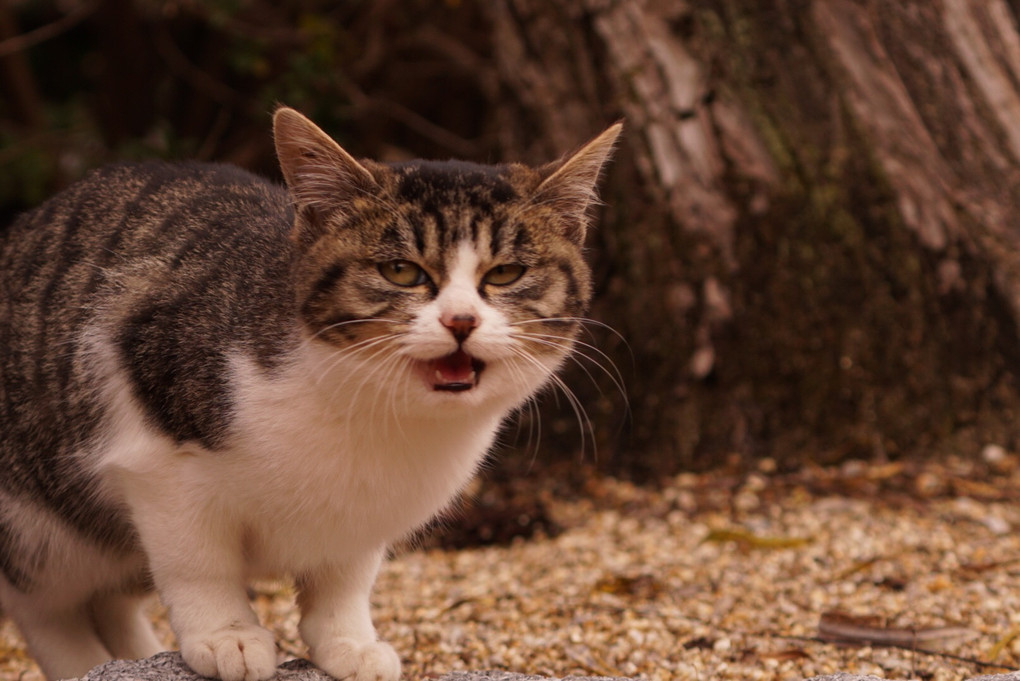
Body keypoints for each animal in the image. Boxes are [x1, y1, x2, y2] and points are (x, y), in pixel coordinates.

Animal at [0, 107, 620, 681]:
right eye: (401, 271)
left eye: (506, 273)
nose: (461, 320)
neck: (370, 415)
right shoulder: (154, 451)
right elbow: (196, 559)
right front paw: (226, 634)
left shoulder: (365, 511)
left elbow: (345, 577)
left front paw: (348, 642)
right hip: (38, 529)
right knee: (47, 608)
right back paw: (84, 659)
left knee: (107, 599)